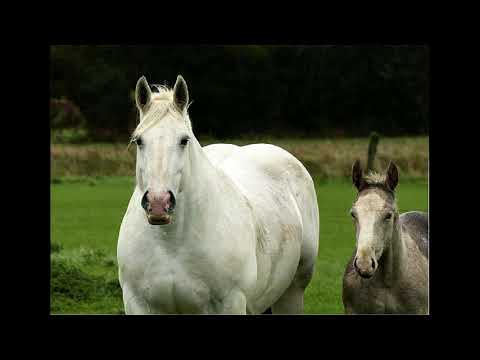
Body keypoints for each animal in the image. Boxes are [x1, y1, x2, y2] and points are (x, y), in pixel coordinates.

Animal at [116, 75, 318, 316]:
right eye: (138, 140)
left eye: (184, 140)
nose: (158, 203)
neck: (170, 243)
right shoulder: (137, 304)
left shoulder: (231, 303)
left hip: (292, 292)